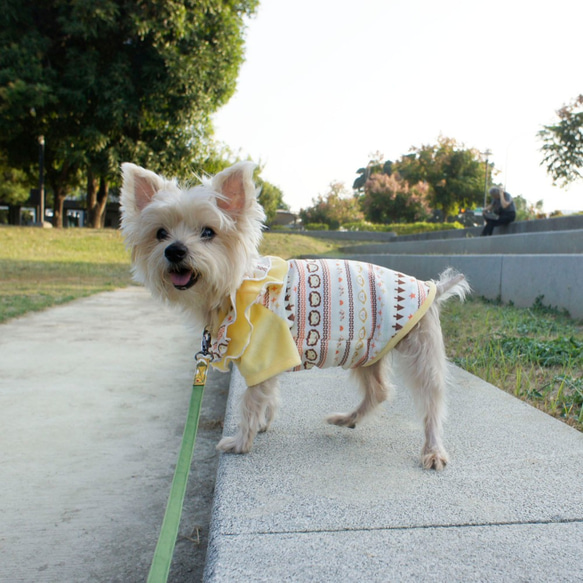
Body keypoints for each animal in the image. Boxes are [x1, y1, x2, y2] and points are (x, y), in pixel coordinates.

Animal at [121, 160, 472, 470]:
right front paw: (263, 423)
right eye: (160, 234)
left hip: (420, 355)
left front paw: (241, 441)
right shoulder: (272, 359)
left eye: (208, 232)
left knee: (431, 405)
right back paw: (348, 419)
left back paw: (433, 450)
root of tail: (431, 286)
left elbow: (251, 400)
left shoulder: (263, 356)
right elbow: (269, 395)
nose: (174, 250)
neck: (237, 288)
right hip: (367, 351)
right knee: (379, 391)